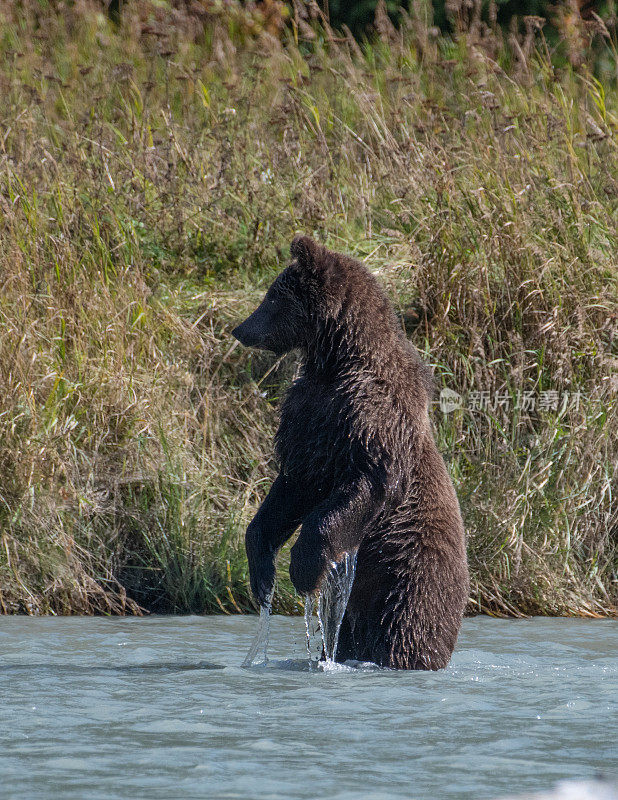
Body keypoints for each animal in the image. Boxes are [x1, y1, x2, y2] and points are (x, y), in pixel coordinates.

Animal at [231, 236, 466, 668]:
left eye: (272, 297)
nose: (240, 329)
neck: (337, 359)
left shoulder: (371, 418)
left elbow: (367, 484)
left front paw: (304, 568)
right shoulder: (310, 421)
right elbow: (292, 488)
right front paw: (262, 573)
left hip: (406, 582)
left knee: (404, 631)